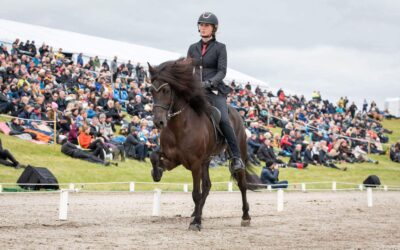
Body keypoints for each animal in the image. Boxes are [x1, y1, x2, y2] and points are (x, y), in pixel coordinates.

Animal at [148, 58, 260, 230]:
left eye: (166, 90)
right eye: (151, 91)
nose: (158, 122)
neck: (180, 126)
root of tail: (237, 112)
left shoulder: (194, 163)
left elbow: (196, 193)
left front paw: (196, 224)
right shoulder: (173, 159)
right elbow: (154, 156)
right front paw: (157, 172)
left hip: (236, 152)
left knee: (242, 184)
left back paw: (245, 217)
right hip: (206, 161)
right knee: (207, 186)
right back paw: (196, 213)